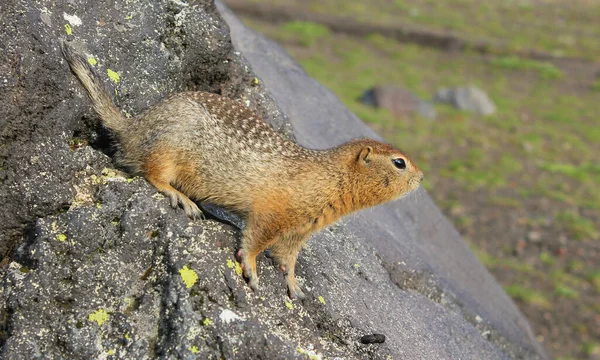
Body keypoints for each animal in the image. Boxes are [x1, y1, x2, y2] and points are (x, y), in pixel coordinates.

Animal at [61, 40, 422, 298]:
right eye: (399, 162)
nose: (421, 178)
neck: (331, 177)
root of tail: (134, 126)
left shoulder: (301, 229)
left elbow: (288, 257)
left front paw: (294, 285)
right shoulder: (276, 209)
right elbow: (257, 238)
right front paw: (251, 270)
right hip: (170, 145)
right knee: (150, 171)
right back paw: (182, 198)